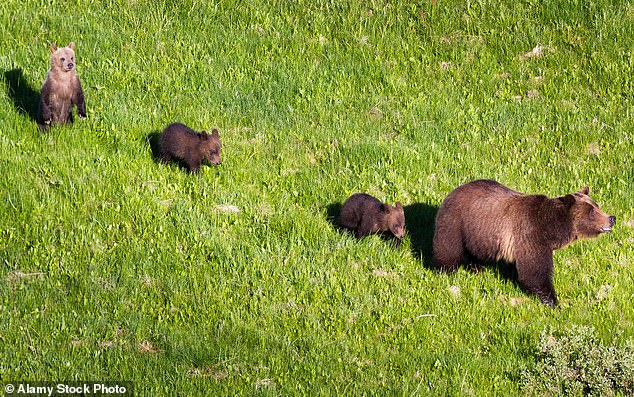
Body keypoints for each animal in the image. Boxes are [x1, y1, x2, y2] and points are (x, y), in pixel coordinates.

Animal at [430, 179, 612, 306]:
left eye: (597, 205)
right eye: (592, 212)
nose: (612, 218)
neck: (551, 228)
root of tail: (452, 191)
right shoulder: (530, 234)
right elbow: (534, 272)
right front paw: (552, 301)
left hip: (477, 234)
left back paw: (476, 267)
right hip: (456, 223)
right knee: (448, 249)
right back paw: (446, 270)